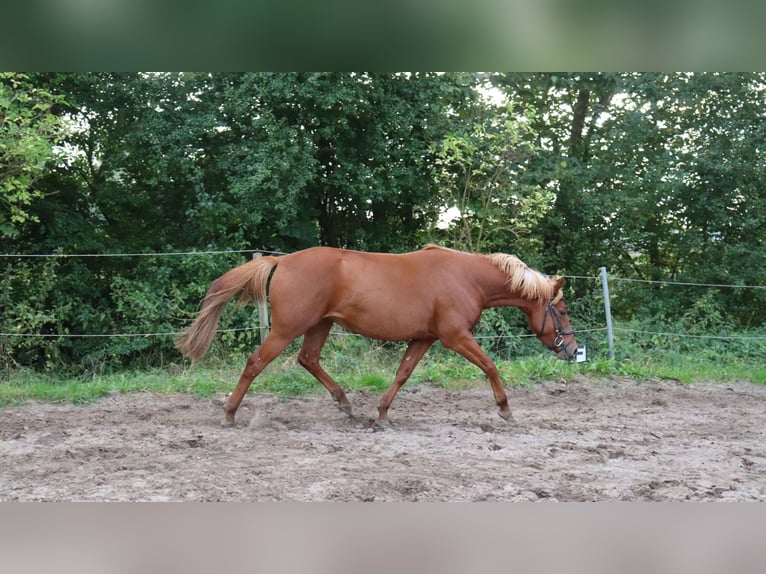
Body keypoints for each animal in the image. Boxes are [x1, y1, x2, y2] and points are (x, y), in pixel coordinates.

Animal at [178, 245, 576, 430]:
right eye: (563, 310)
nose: (571, 350)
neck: (466, 278)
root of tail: (284, 260)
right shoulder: (455, 337)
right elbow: (490, 366)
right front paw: (506, 410)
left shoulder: (425, 339)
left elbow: (402, 374)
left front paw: (382, 414)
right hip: (287, 328)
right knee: (256, 362)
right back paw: (230, 414)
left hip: (319, 326)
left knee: (308, 359)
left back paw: (344, 403)